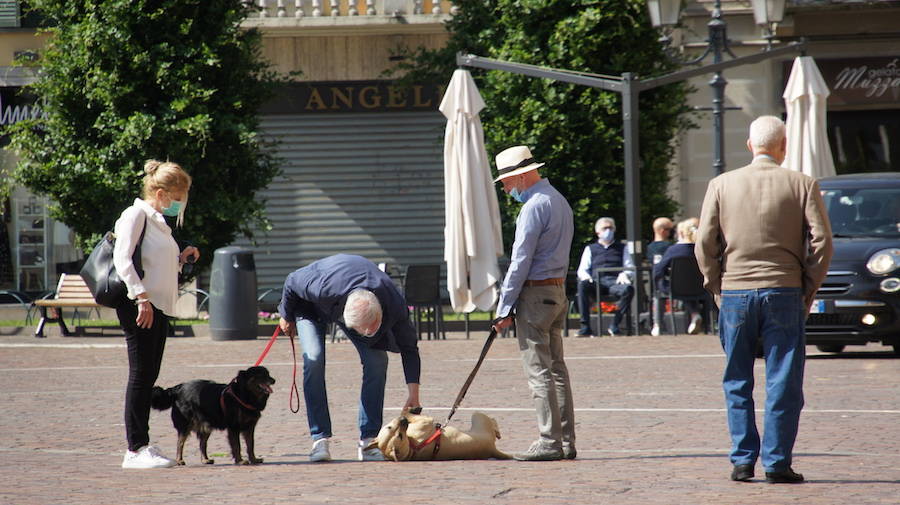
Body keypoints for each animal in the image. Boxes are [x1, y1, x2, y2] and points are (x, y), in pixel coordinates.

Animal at [364, 410, 506, 460]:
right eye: (399, 436)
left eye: (388, 427)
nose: (403, 420)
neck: (412, 446)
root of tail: (492, 450)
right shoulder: (425, 421)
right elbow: (413, 415)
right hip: (478, 416)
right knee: (493, 422)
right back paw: (498, 432)